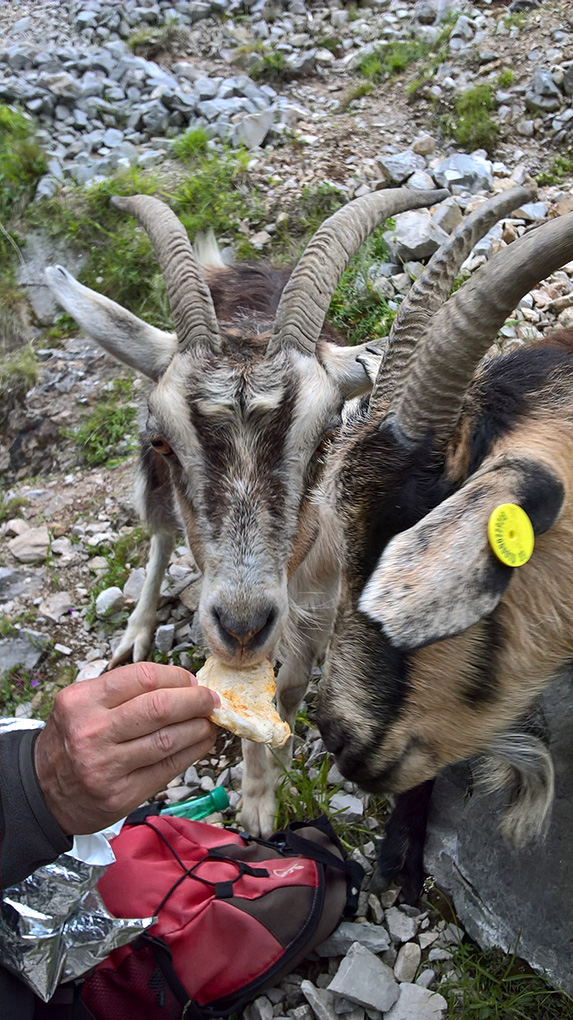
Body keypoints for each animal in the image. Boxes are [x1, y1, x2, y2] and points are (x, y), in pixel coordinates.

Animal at [44, 185, 446, 836]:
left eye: (327, 438)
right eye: (165, 439)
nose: (240, 626)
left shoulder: (318, 592)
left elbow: (290, 684)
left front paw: (270, 775)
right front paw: (258, 801)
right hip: (155, 496)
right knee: (160, 535)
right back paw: (136, 632)